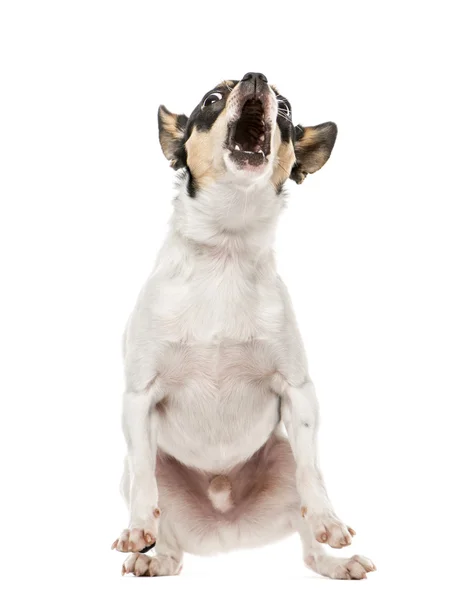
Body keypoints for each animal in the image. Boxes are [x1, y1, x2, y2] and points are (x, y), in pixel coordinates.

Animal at [112, 72, 374, 580]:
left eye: (286, 108)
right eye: (212, 98)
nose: (257, 77)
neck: (225, 248)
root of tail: (225, 528)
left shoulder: (298, 392)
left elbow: (314, 472)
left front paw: (330, 519)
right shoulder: (138, 398)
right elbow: (144, 483)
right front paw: (136, 528)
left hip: (283, 458)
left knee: (308, 541)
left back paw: (337, 563)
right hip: (152, 477)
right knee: (164, 525)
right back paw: (156, 559)